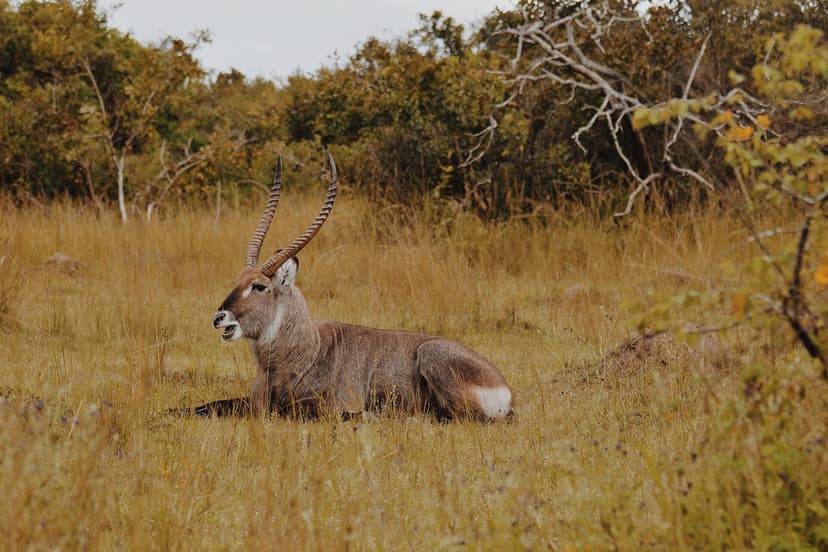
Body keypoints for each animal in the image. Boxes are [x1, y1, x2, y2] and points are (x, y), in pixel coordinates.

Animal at [194, 155, 513, 421]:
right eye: (238, 280)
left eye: (259, 286)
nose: (219, 317)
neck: (308, 347)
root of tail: (504, 389)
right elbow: (207, 406)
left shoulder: (330, 404)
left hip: (432, 358)